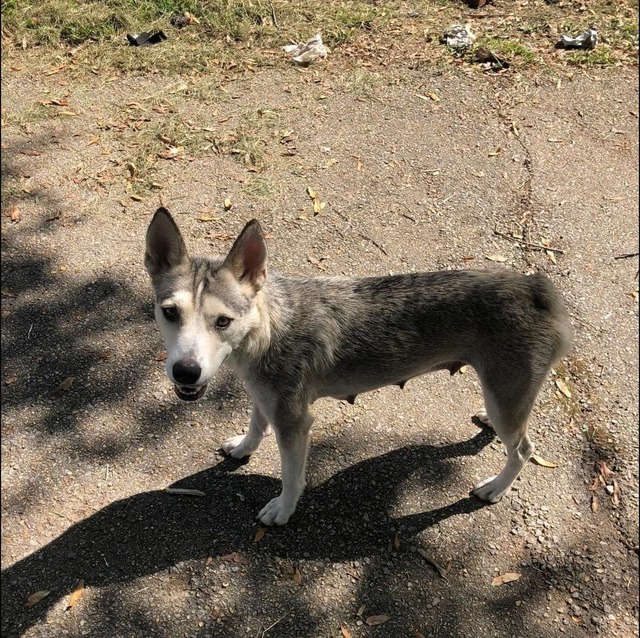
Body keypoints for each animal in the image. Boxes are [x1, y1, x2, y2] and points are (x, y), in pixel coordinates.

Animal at [146, 208, 576, 528]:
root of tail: (536, 287)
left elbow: (292, 476)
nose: (186, 372)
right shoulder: (265, 397)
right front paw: (242, 448)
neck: (265, 328)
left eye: (222, 321)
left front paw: (283, 509)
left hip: (508, 398)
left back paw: (495, 488)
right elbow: (255, 425)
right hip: (503, 395)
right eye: (170, 312)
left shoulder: (294, 421)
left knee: (523, 449)